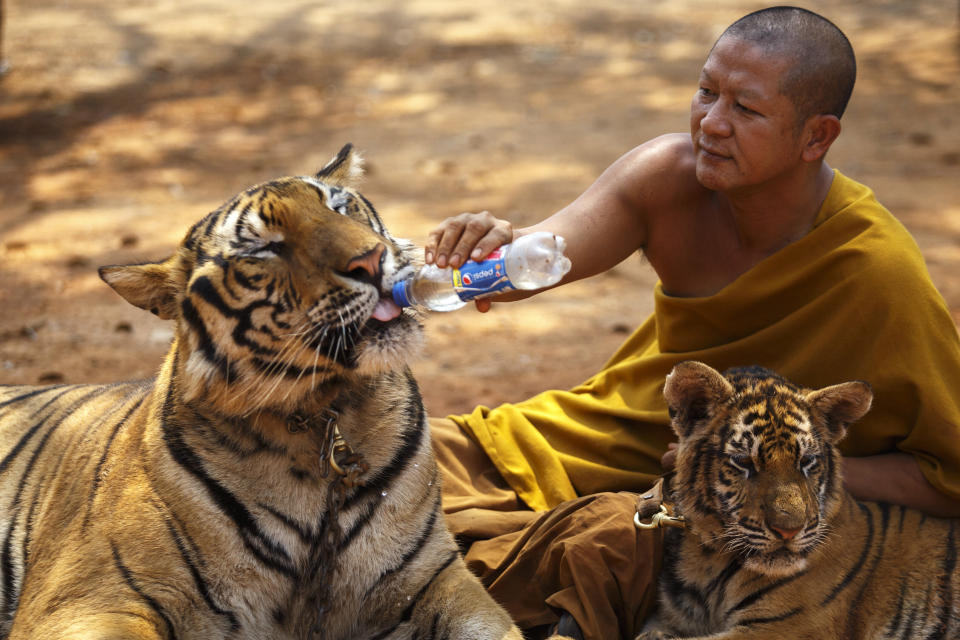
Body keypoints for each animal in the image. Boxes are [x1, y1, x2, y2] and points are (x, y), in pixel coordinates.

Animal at [0, 146, 560, 640]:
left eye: (339, 205)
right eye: (264, 247)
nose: (372, 258)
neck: (320, 413)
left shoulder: (432, 579)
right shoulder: (93, 597)